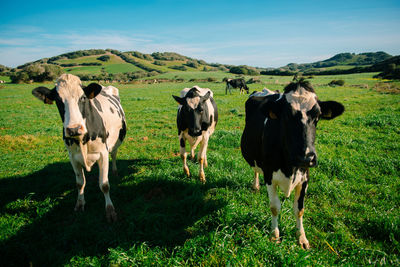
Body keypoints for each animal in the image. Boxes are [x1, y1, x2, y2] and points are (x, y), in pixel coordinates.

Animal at [32, 73, 126, 222]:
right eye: (58, 100)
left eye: (82, 97)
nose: (74, 129)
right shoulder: (73, 157)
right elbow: (80, 183)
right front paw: (80, 204)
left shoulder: (103, 153)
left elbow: (104, 184)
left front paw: (110, 210)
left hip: (115, 141)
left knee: (114, 154)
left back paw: (115, 171)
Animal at [239, 79, 346, 249]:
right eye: (286, 116)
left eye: (317, 116)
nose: (306, 157)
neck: (290, 167)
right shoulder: (269, 175)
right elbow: (274, 207)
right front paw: (274, 235)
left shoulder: (305, 177)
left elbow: (299, 209)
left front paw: (301, 238)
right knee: (256, 169)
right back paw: (255, 185)